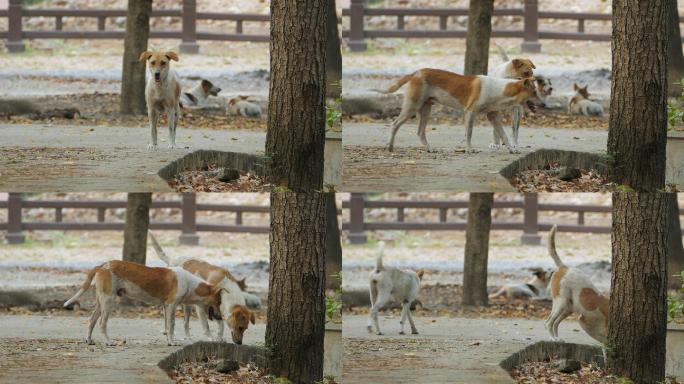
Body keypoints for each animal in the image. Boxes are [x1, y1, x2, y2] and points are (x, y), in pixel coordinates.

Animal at [63, 260, 220, 344]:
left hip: (100, 303)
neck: (189, 283)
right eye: (218, 302)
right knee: (102, 324)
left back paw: (89, 341)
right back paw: (108, 342)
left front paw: (169, 341)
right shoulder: (171, 306)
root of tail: (103, 265)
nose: (220, 317)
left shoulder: (166, 307)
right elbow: (172, 326)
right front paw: (172, 342)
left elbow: (168, 326)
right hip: (108, 302)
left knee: (91, 321)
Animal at [376, 67, 544, 153]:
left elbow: (504, 135)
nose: (544, 105)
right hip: (412, 106)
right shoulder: (470, 112)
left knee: (420, 132)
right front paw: (469, 149)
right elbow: (469, 133)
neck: (500, 89)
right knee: (394, 125)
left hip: (425, 109)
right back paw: (389, 147)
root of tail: (416, 72)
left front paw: (512, 150)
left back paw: (429, 149)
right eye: (534, 93)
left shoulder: (492, 116)